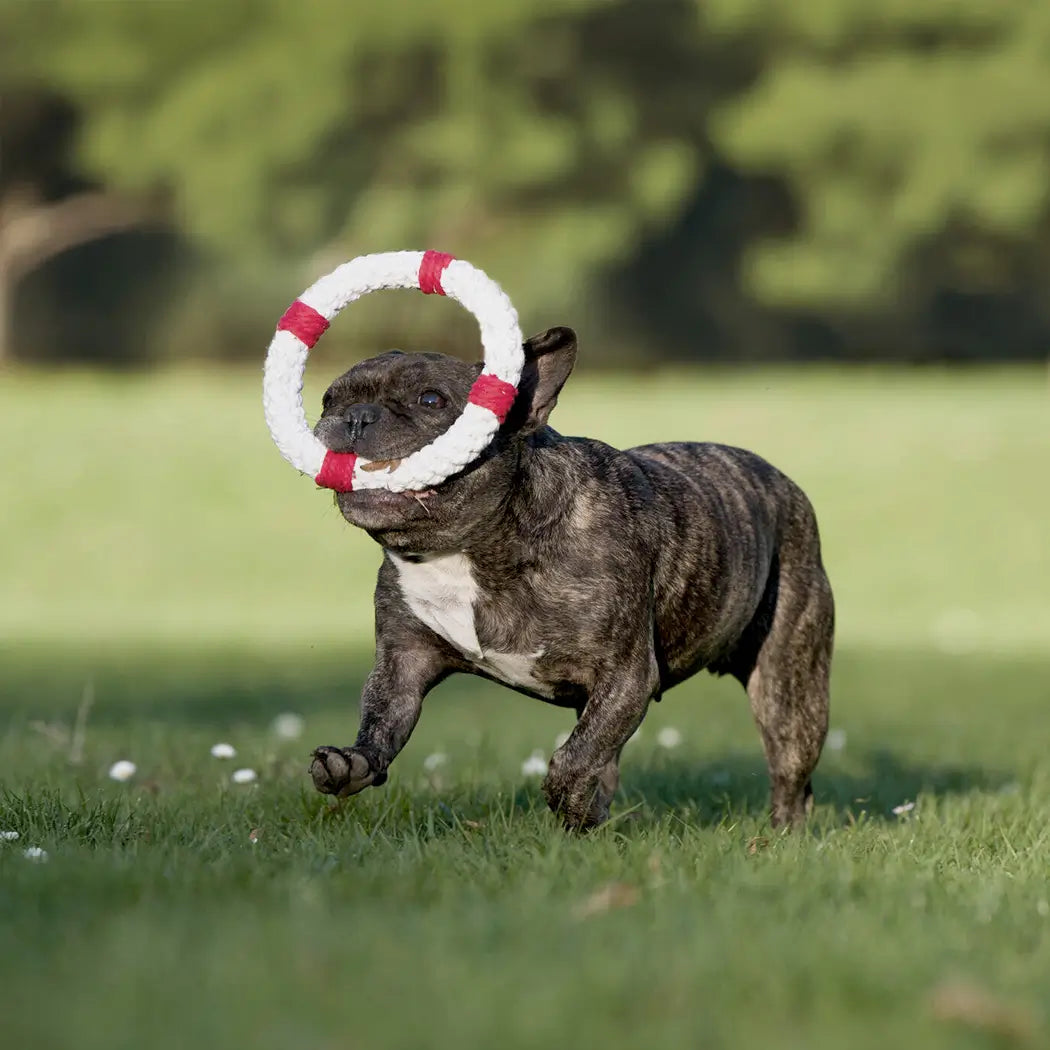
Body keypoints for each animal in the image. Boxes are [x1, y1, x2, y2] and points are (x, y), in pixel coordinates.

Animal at [306, 327, 831, 827]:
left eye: (431, 400)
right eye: (329, 399)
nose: (357, 415)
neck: (468, 548)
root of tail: (781, 481)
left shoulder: (626, 676)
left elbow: (575, 757)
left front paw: (572, 803)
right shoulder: (403, 662)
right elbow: (383, 718)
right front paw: (352, 762)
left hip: (788, 686)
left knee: (790, 773)